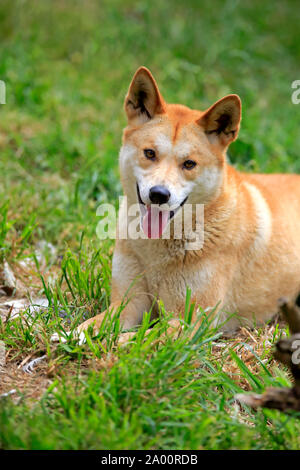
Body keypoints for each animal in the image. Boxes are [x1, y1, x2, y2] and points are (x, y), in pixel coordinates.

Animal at [75, 66, 300, 342]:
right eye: (149, 153)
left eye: (189, 164)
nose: (159, 194)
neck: (157, 252)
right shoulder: (129, 302)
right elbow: (95, 323)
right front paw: (71, 335)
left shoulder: (190, 321)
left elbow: (143, 337)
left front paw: (120, 342)